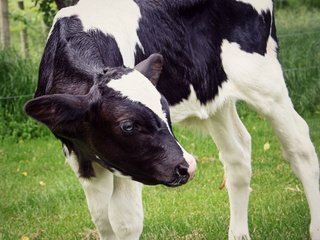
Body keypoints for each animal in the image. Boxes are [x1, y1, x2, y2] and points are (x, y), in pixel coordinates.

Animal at [25, 0, 320, 240]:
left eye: (165, 110)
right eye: (127, 125)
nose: (187, 166)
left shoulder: (130, 166)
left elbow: (125, 221)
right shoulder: (79, 154)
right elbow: (102, 219)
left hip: (265, 81)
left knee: (299, 144)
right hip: (214, 97)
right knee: (237, 154)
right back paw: (238, 234)